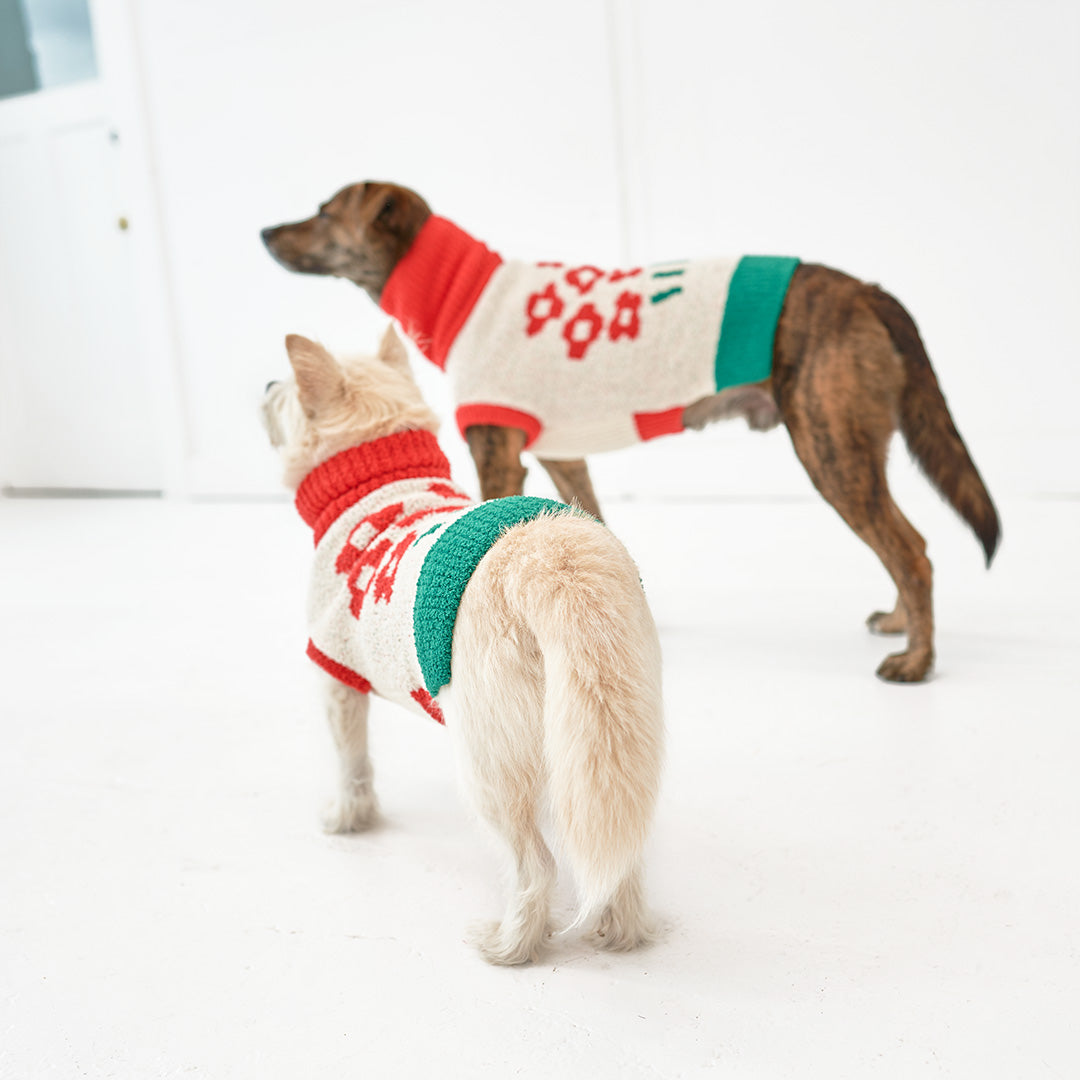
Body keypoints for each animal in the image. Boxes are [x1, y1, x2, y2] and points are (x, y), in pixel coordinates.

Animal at [259, 180, 993, 678]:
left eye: (324, 213)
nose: (265, 233)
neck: (463, 293)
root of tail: (864, 289)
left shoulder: (498, 453)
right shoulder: (565, 458)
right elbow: (593, 524)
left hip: (830, 449)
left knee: (912, 549)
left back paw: (918, 660)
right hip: (855, 452)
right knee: (898, 545)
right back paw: (901, 623)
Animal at [262, 328, 665, 963]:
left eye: (282, 392)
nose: (264, 385)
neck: (379, 476)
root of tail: (549, 554)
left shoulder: (335, 675)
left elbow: (351, 760)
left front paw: (349, 817)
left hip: (490, 760)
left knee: (536, 866)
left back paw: (510, 944)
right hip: (614, 729)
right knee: (618, 849)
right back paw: (620, 931)